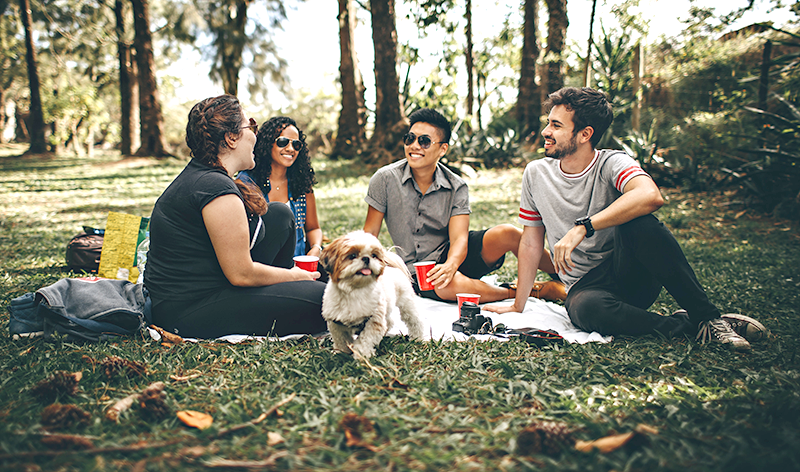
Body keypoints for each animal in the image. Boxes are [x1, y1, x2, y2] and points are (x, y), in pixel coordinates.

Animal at [318, 230, 424, 358]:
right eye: (352, 256)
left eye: (373, 255)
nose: (366, 258)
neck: (354, 290)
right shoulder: (336, 323)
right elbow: (341, 339)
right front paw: (341, 353)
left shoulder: (374, 320)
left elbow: (365, 339)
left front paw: (361, 355)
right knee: (389, 321)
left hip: (407, 304)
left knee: (415, 320)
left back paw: (418, 338)